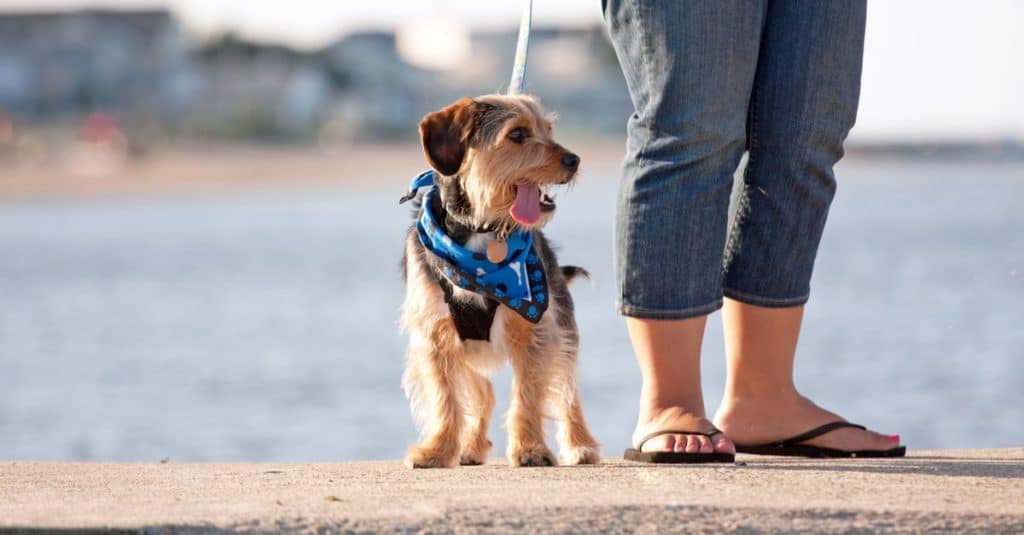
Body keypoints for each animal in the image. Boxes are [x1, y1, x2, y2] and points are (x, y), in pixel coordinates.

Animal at [397, 95, 598, 467]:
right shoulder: (435, 336)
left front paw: (530, 449)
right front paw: (437, 449)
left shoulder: (536, 328)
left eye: (548, 129)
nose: (574, 159)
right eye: (517, 134)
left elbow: (528, 393)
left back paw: (580, 445)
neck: (482, 231)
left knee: (567, 391)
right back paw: (471, 447)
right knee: (483, 393)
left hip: (563, 329)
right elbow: (445, 397)